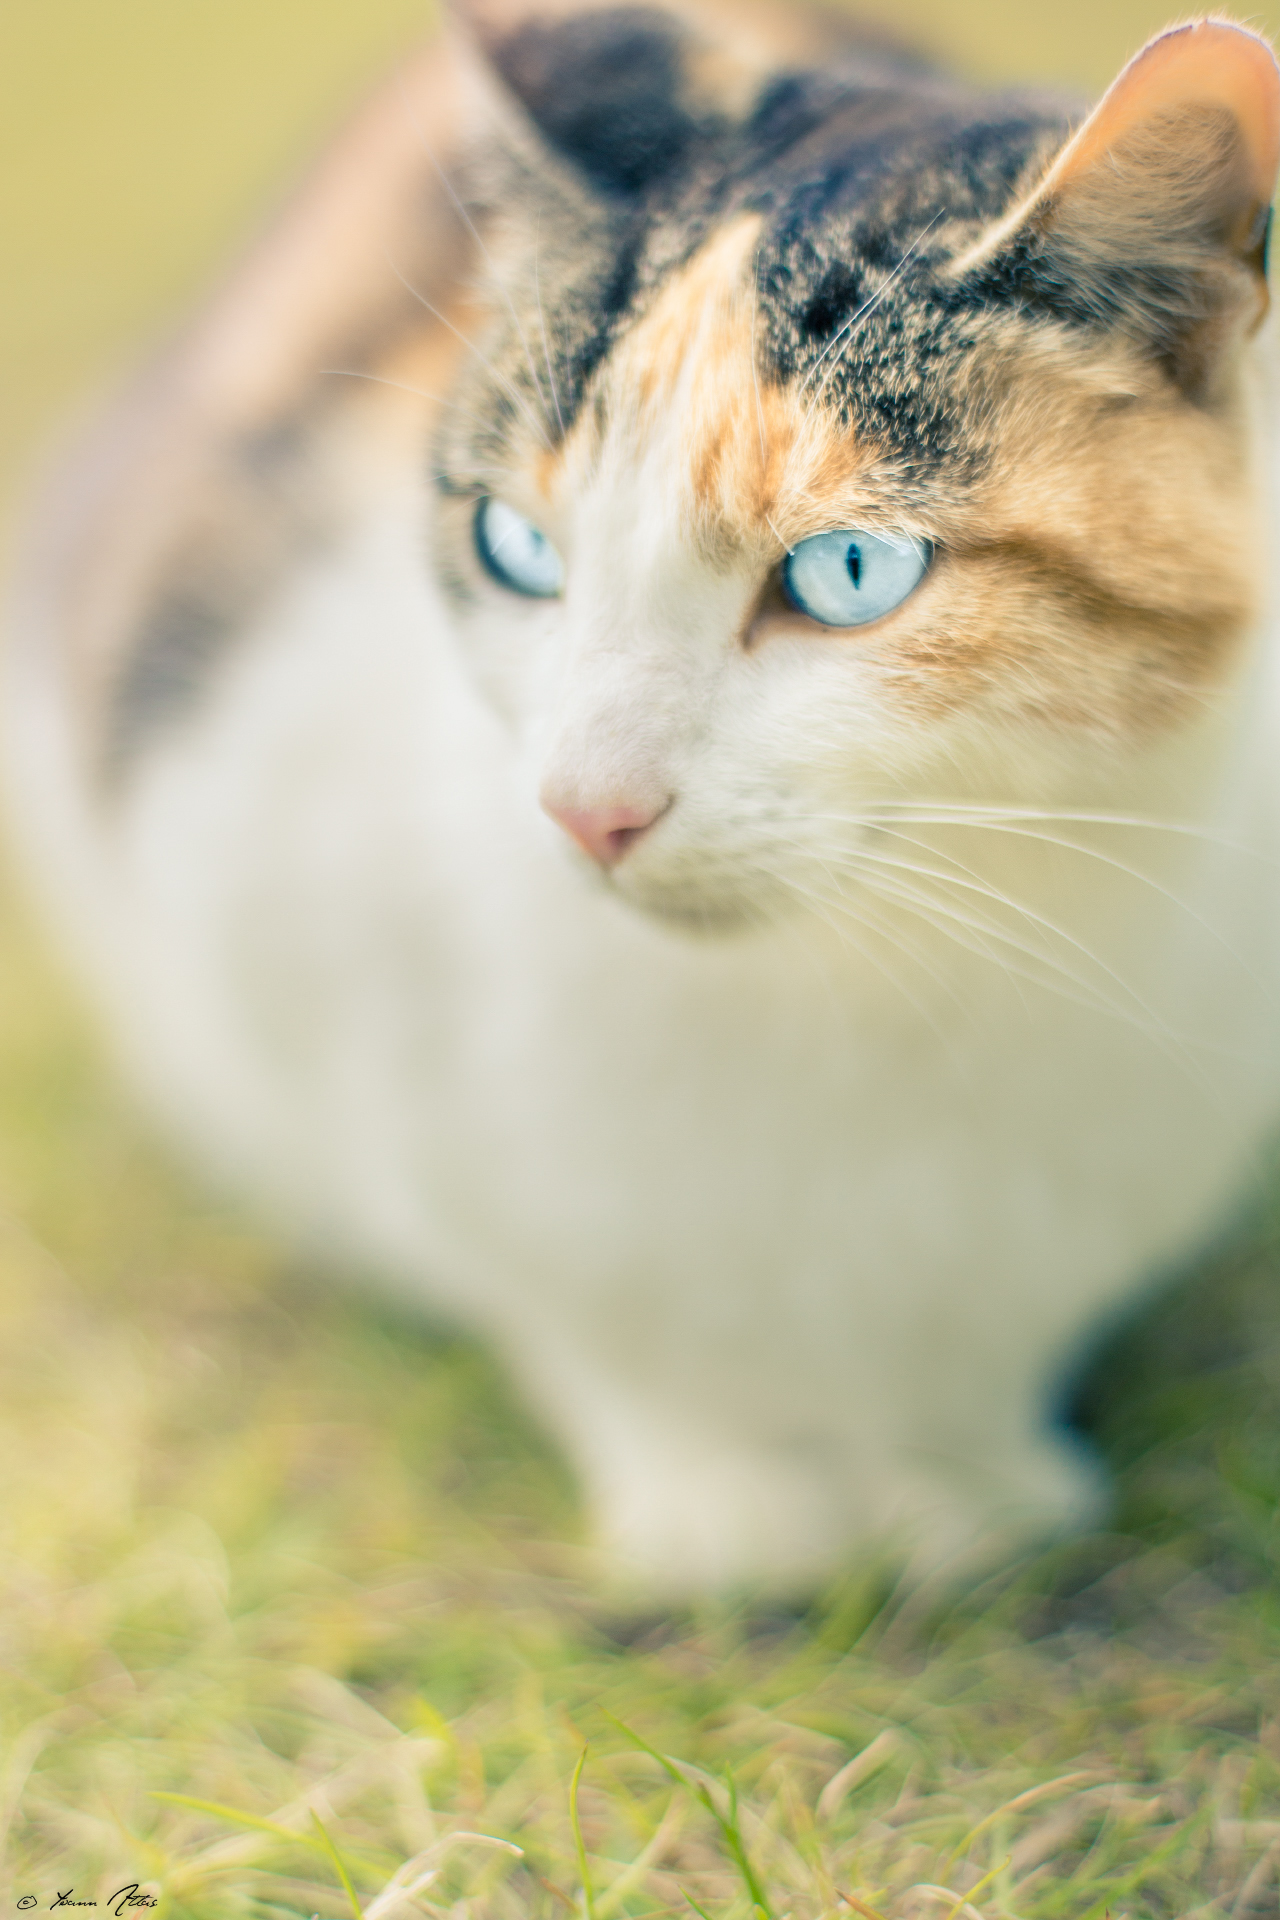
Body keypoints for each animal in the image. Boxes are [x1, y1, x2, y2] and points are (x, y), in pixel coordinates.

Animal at [7, 0, 1280, 1589]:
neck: (863, 1001)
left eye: (847, 573)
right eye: (513, 547)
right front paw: (722, 1499)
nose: (583, 807)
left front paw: (963, 1486)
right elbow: (578, 1296)